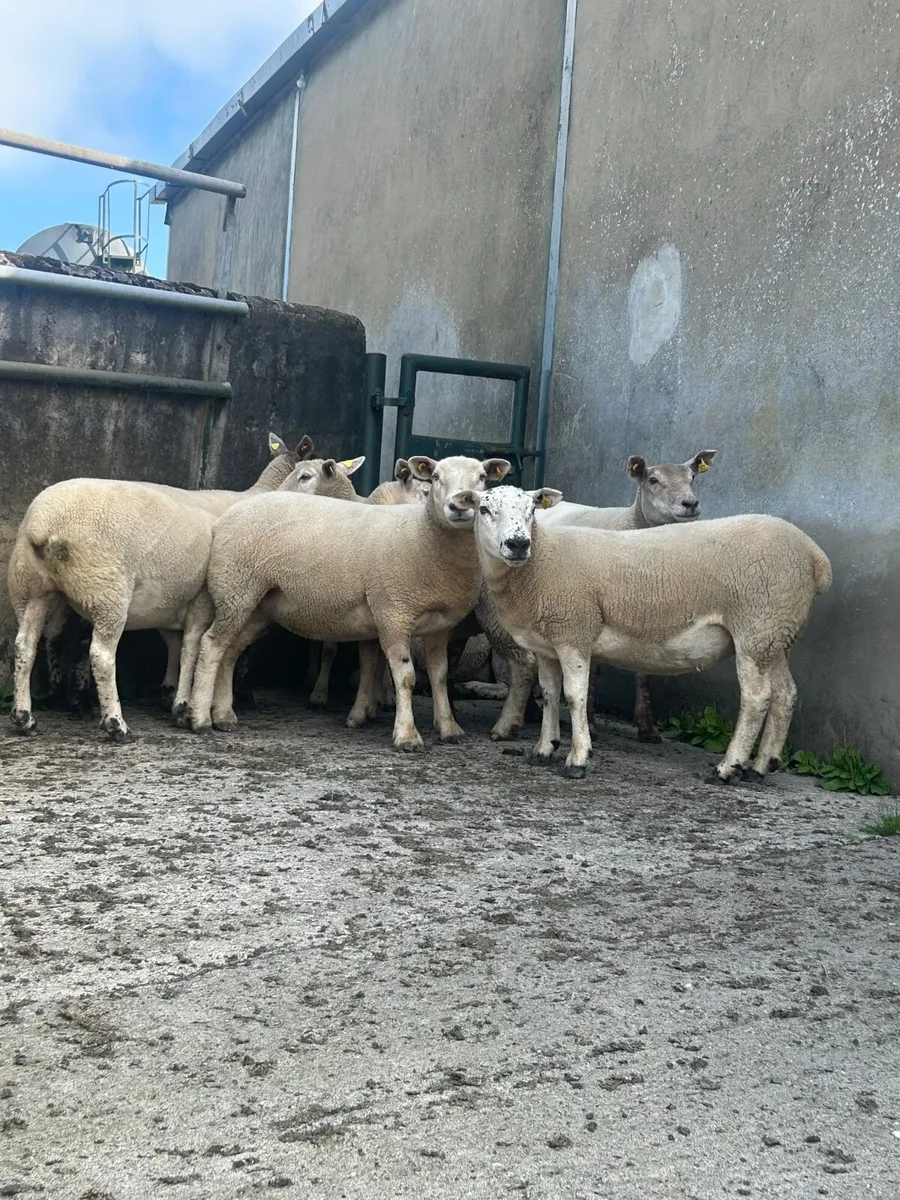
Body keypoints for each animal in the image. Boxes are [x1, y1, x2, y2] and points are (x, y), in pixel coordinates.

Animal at [7, 433, 320, 741]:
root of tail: (46, 524)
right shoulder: (210, 599)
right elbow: (204, 649)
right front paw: (202, 704)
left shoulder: (178, 599)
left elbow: (179, 645)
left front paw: (174, 696)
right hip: (107, 590)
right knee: (98, 653)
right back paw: (113, 722)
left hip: (32, 587)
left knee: (29, 643)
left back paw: (29, 716)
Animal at [185, 455, 511, 750]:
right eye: (436, 477)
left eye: (483, 477)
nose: (460, 505)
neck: (424, 535)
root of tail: (228, 515)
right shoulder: (392, 613)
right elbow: (405, 676)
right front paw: (406, 735)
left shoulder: (440, 626)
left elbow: (440, 676)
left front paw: (449, 727)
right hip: (236, 589)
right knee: (212, 645)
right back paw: (200, 718)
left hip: (257, 605)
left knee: (229, 652)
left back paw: (224, 715)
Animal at [473, 485, 831, 782]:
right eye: (484, 509)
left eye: (532, 509)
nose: (518, 544)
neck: (540, 564)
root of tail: (816, 557)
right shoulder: (547, 642)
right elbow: (549, 694)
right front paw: (544, 749)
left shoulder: (574, 632)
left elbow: (574, 697)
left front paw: (578, 758)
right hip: (776, 633)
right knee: (786, 694)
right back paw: (761, 766)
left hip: (756, 626)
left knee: (757, 699)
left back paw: (728, 768)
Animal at [479, 450, 717, 743]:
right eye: (653, 480)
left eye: (692, 477)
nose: (690, 503)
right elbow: (592, 670)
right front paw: (589, 721)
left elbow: (644, 674)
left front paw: (647, 727)